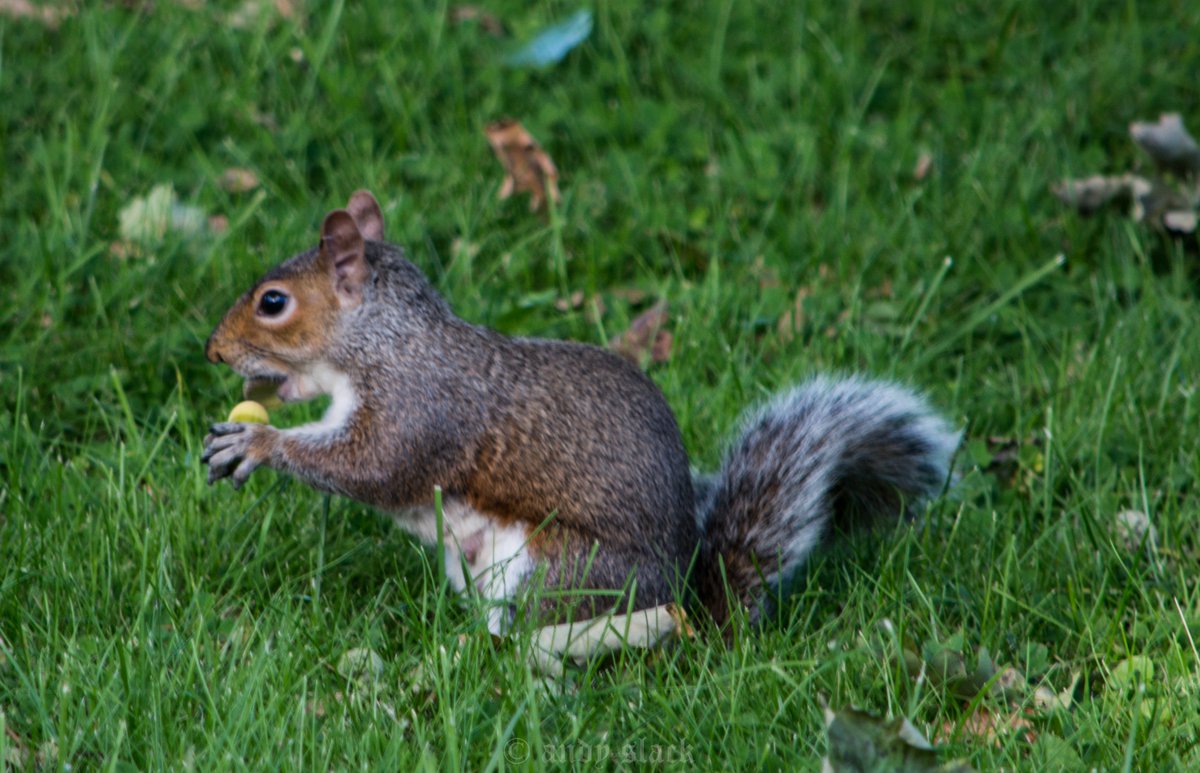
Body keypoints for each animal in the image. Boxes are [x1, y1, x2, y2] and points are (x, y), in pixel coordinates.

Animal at [202, 190, 960, 635]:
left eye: (273, 302)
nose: (213, 350)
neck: (387, 341)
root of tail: (688, 604)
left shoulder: (421, 406)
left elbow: (373, 466)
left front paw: (257, 443)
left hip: (561, 573)